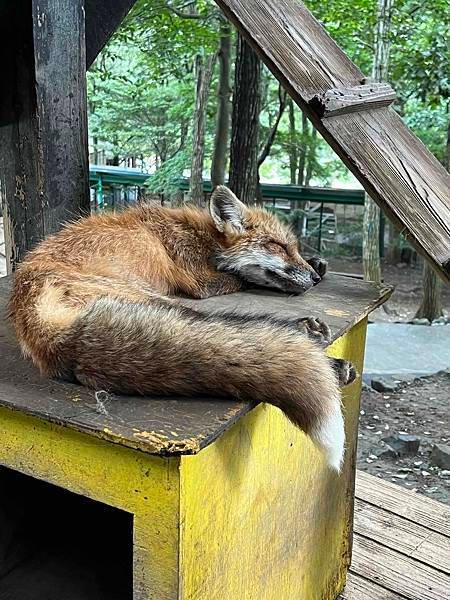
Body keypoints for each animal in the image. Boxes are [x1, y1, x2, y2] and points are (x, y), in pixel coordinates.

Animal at [7, 185, 356, 472]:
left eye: (293, 248)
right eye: (278, 246)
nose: (312, 277)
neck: (202, 236)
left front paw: (319, 264)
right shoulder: (200, 281)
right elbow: (241, 276)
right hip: (151, 300)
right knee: (219, 328)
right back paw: (318, 347)